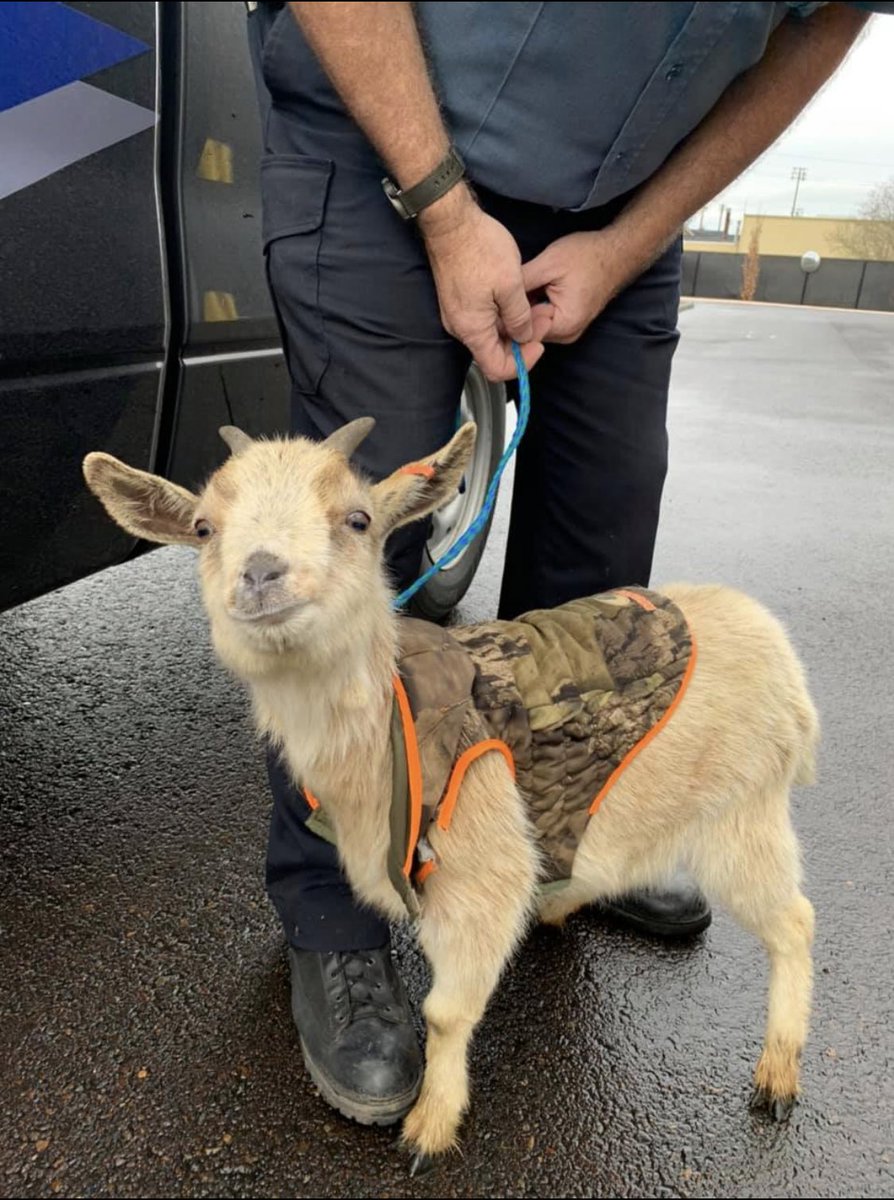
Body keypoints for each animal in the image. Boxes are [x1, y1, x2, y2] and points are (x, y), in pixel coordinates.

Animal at [83, 418, 818, 1164]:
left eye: (357, 519)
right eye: (203, 528)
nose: (260, 573)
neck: (393, 720)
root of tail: (775, 642)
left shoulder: (479, 873)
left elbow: (444, 1013)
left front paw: (429, 1128)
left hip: (743, 810)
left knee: (794, 920)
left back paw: (777, 1077)